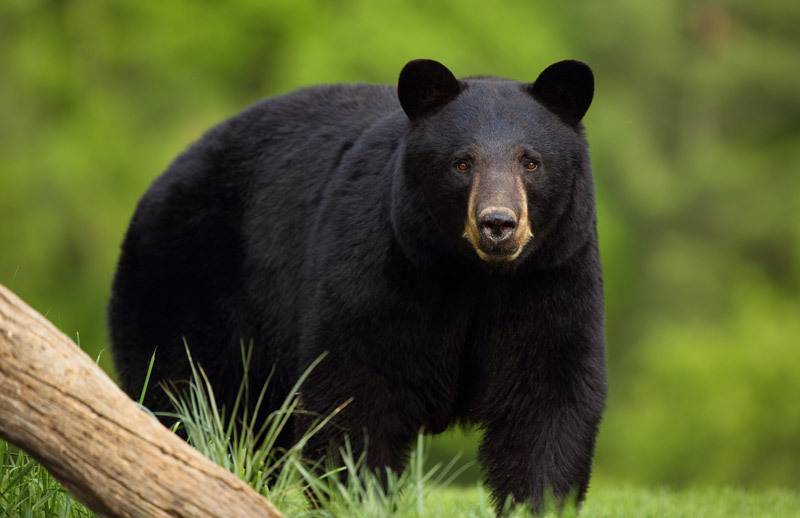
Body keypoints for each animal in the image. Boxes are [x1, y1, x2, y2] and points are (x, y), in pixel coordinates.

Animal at [108, 58, 608, 512]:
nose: (498, 224)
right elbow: (356, 391)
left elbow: (546, 402)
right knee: (188, 395)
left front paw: (539, 501)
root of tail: (159, 182)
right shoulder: (380, 271)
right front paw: (359, 496)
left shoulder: (552, 278)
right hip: (188, 282)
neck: (472, 275)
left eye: (531, 162)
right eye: (462, 163)